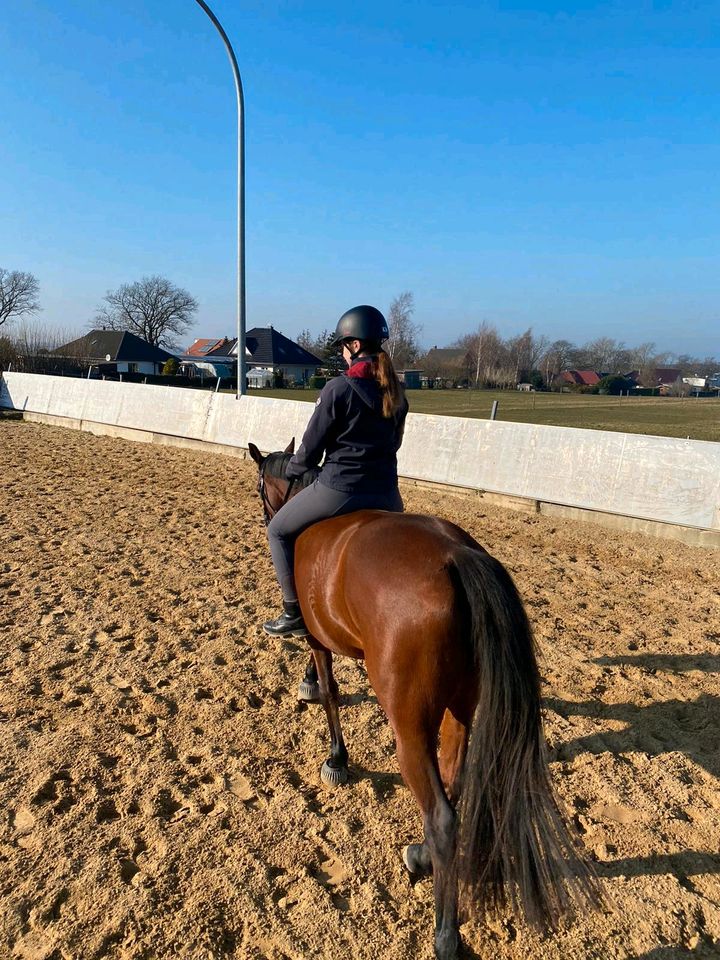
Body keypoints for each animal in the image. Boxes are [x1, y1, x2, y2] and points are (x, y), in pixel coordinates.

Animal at [250, 442, 600, 960]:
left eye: (260, 488)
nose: (266, 515)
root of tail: (456, 555)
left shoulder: (317, 637)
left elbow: (331, 693)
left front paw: (335, 756)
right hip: (461, 709)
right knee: (455, 780)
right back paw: (421, 856)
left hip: (410, 726)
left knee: (441, 816)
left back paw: (445, 932)